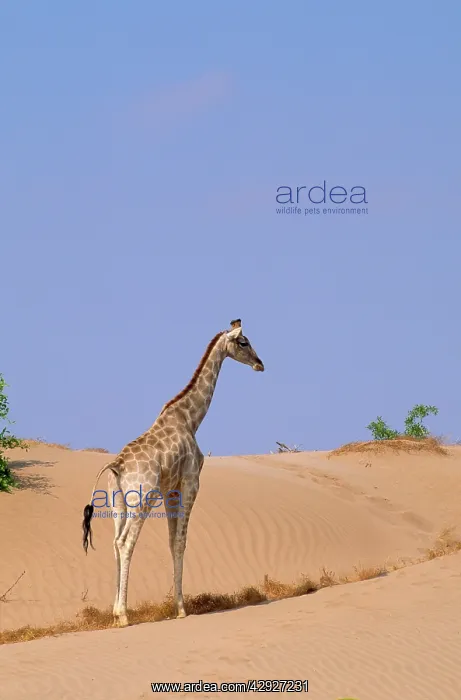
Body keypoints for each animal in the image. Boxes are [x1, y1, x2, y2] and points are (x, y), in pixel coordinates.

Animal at [82, 319, 264, 627]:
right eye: (244, 342)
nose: (260, 364)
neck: (191, 419)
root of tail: (116, 466)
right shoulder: (190, 481)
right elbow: (180, 541)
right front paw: (181, 609)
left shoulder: (170, 488)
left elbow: (170, 540)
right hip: (142, 499)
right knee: (126, 543)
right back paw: (124, 615)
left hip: (117, 503)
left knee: (114, 543)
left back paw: (115, 611)